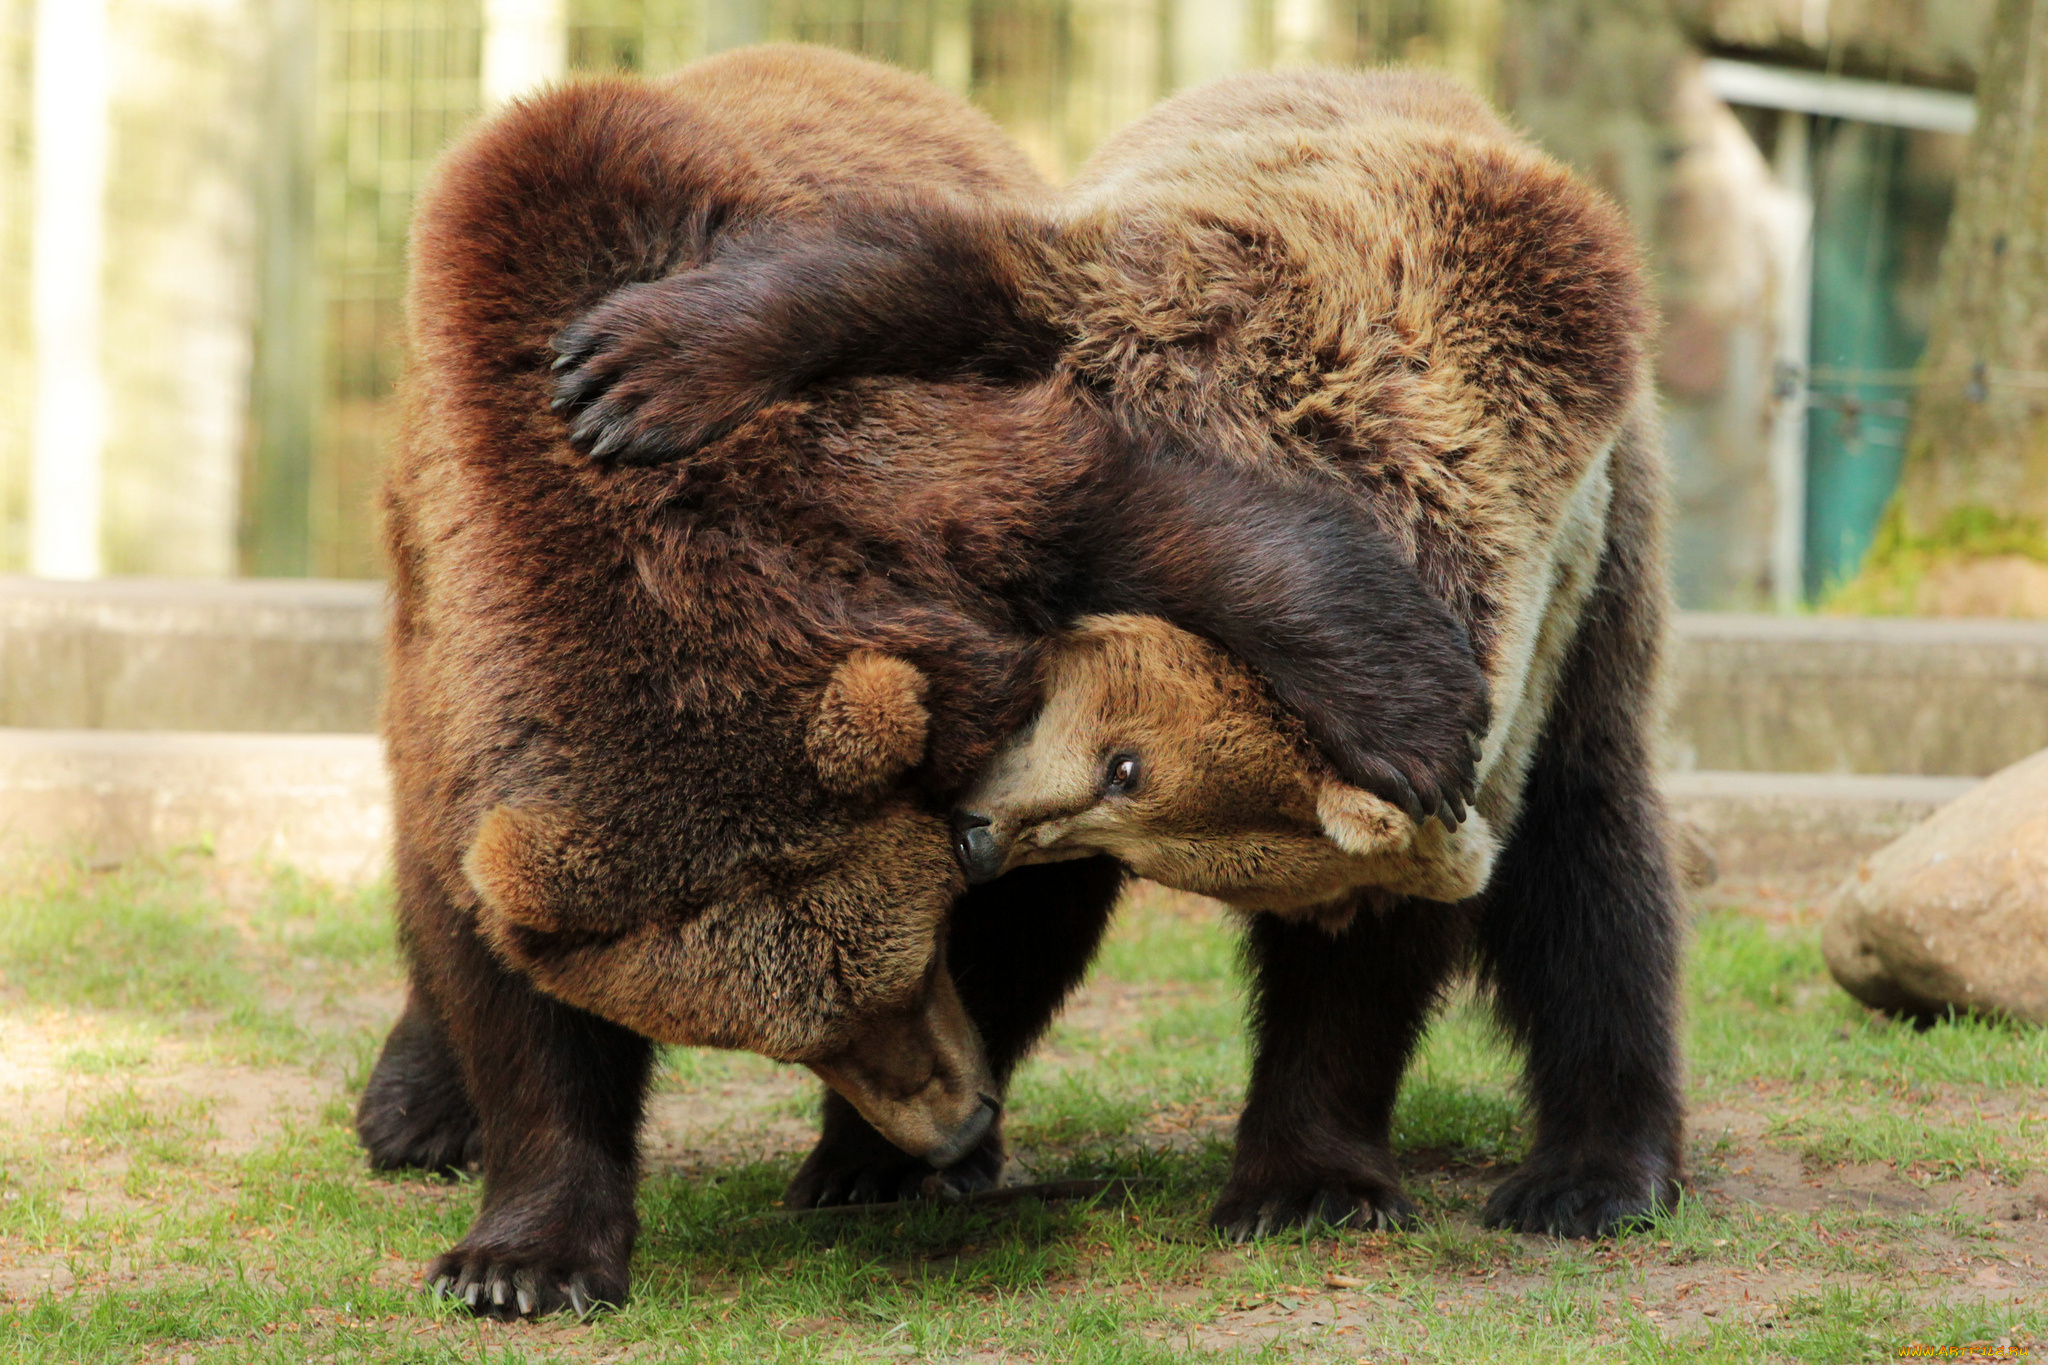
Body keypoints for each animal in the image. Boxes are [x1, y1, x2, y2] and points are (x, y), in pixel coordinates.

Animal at [364, 48, 1490, 1317]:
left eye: (913, 970)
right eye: (791, 1039)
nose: (948, 1120)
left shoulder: (890, 501)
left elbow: (1133, 517)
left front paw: (1411, 715)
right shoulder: (462, 699)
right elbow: (503, 983)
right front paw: (519, 1259)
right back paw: (412, 1110)